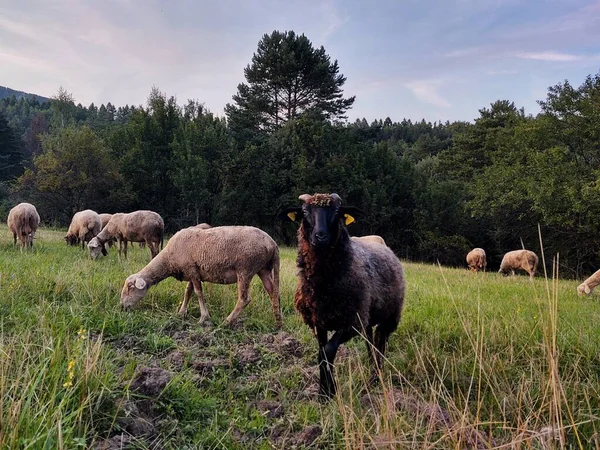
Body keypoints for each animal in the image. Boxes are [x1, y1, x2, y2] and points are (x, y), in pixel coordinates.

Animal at [122, 224, 284, 326]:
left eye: (130, 287)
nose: (122, 307)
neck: (168, 260)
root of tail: (272, 243)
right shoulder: (191, 272)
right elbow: (188, 292)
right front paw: (181, 312)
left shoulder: (192, 270)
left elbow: (199, 293)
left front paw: (203, 318)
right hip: (263, 269)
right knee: (274, 293)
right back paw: (278, 323)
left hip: (245, 269)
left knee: (244, 299)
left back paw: (226, 322)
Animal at [278, 192, 406, 398]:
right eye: (304, 211)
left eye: (337, 211)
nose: (320, 236)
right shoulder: (318, 322)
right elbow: (321, 353)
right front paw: (324, 393)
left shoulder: (350, 323)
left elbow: (328, 351)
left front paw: (331, 391)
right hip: (366, 318)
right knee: (370, 342)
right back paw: (370, 367)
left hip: (389, 316)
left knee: (381, 344)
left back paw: (375, 377)